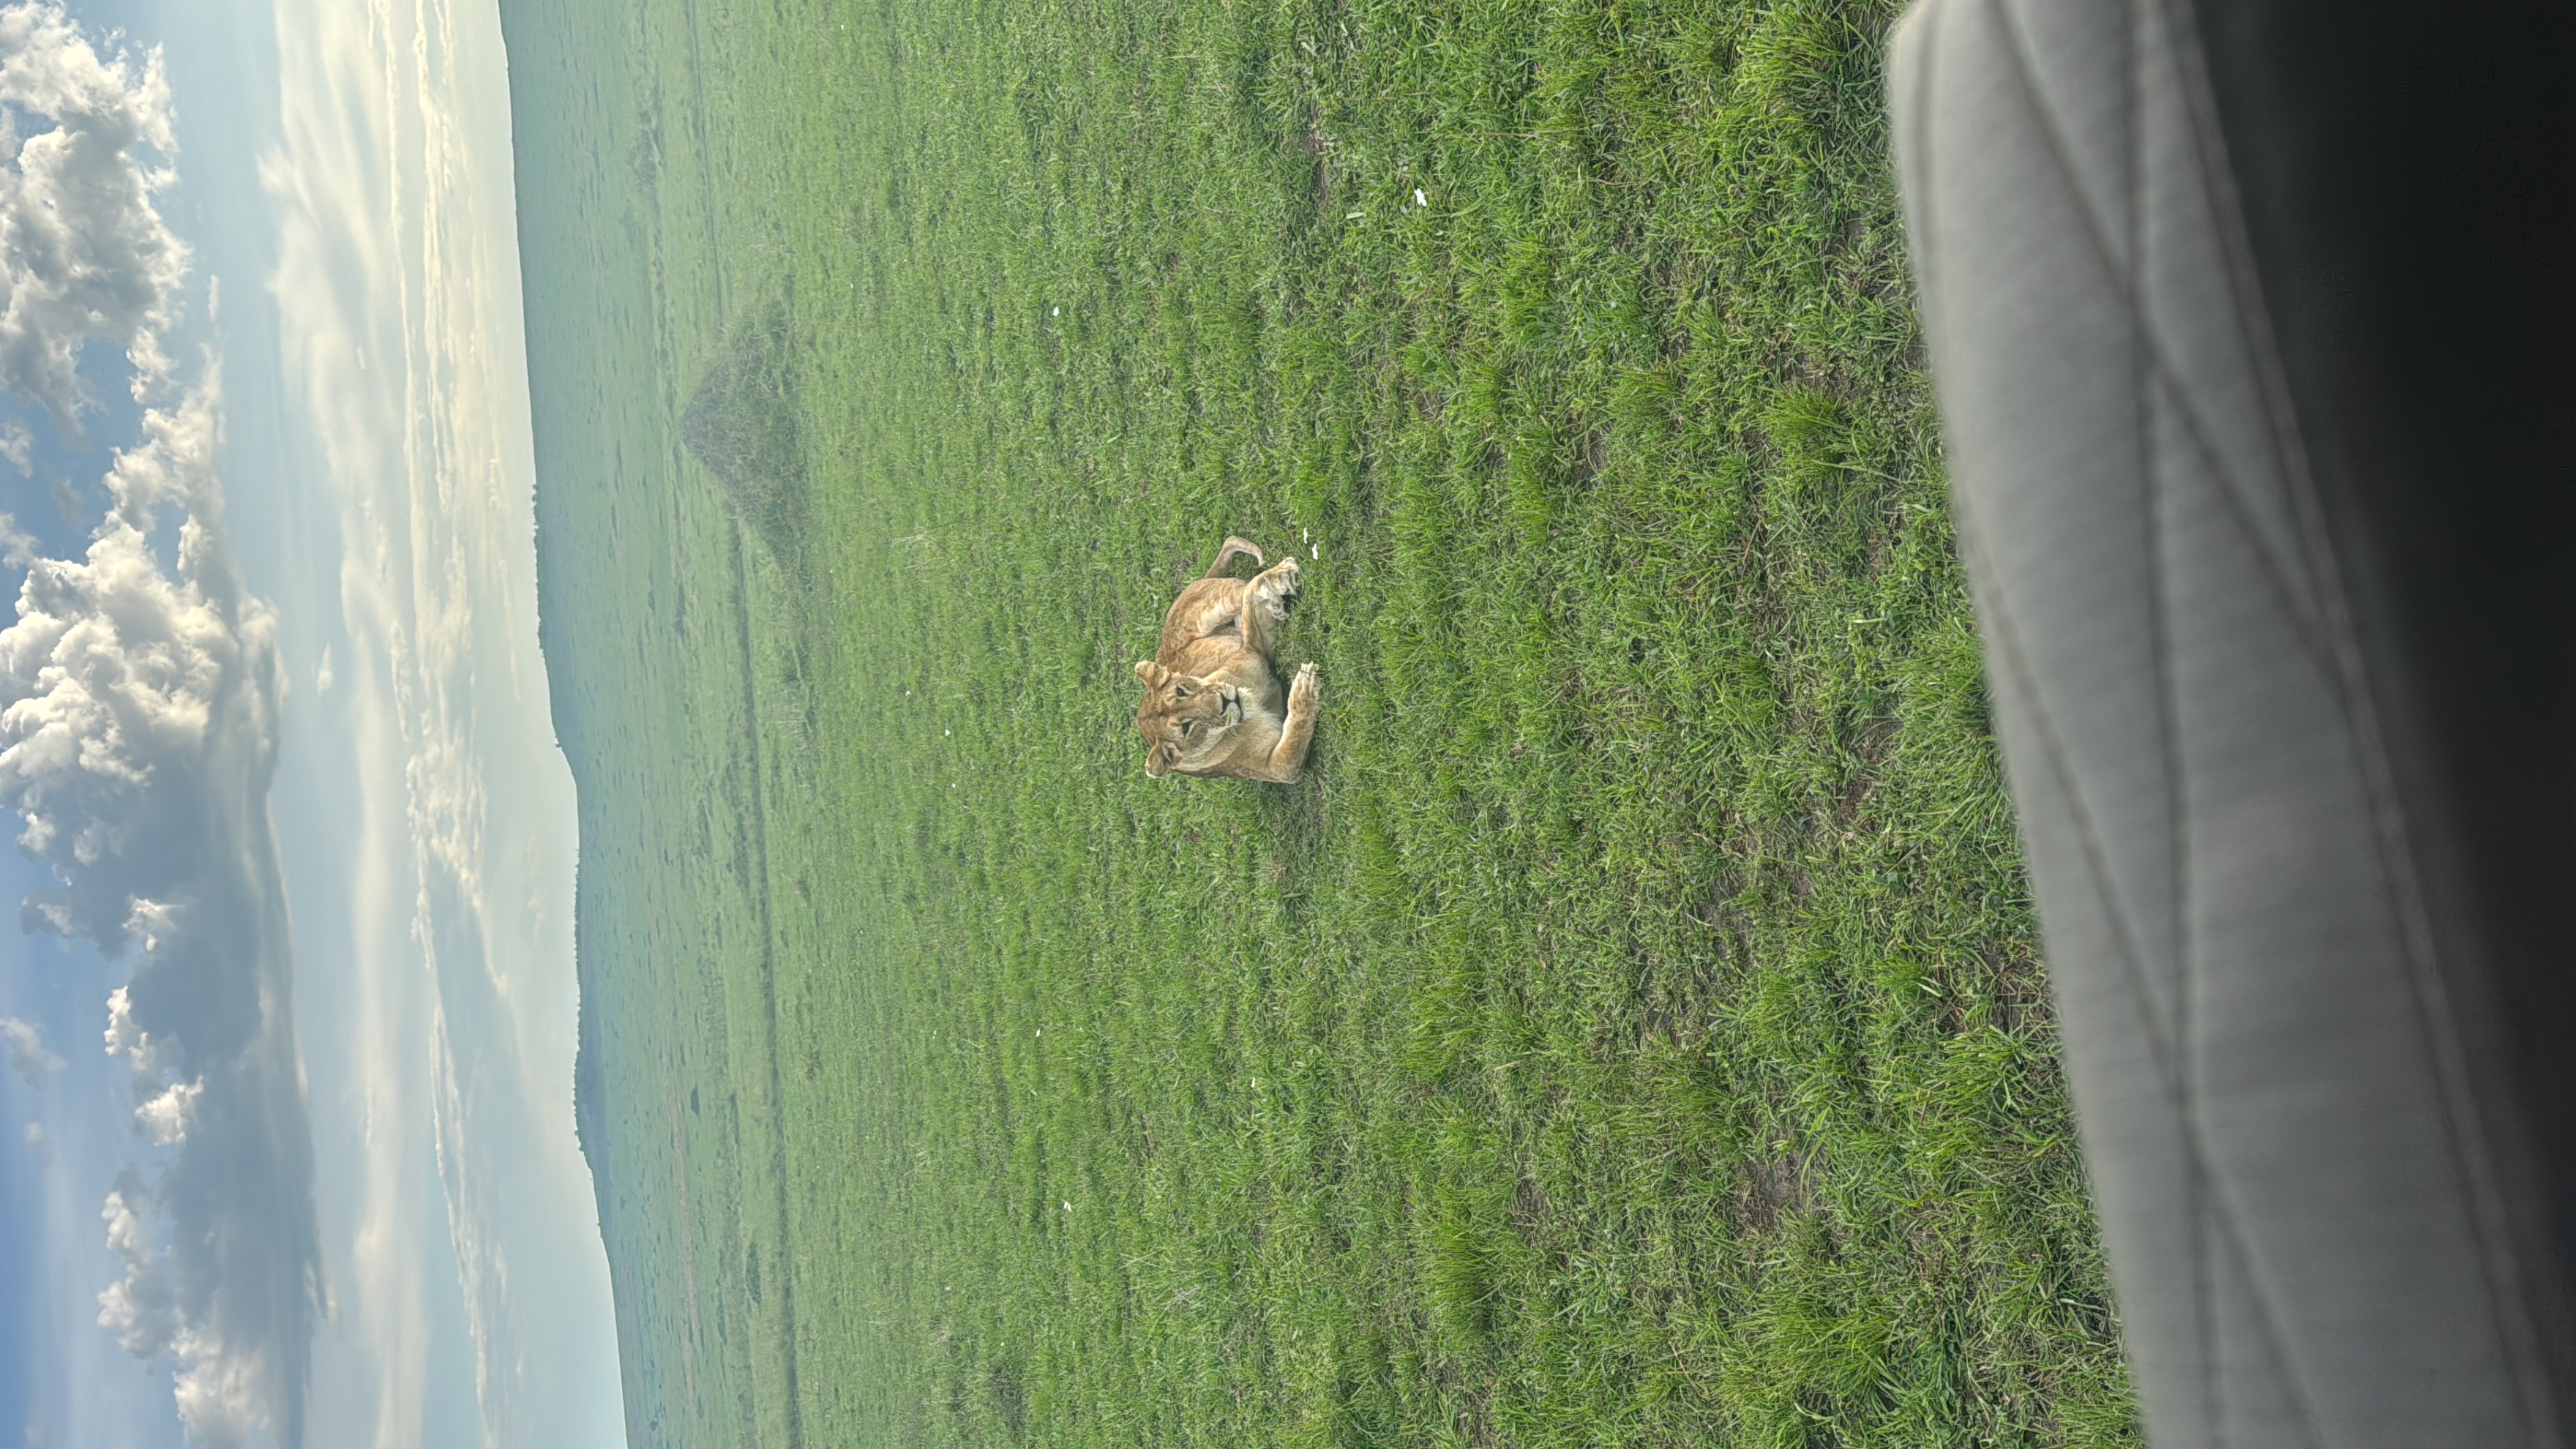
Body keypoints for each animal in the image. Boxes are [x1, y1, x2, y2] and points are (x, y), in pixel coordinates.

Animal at [1134, 536, 1321, 782]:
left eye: (1181, 691)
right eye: (1186, 728)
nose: (1225, 701)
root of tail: (1200, 580)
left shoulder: (1253, 648)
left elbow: (1253, 595)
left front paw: (1280, 580)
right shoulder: (1274, 768)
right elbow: (1291, 748)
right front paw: (1305, 688)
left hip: (1217, 604)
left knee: (1241, 577)